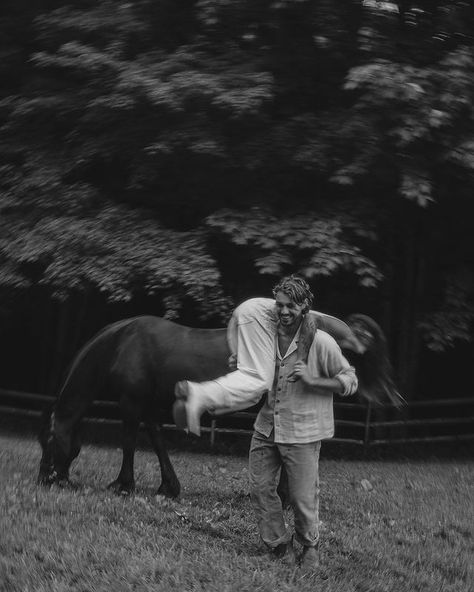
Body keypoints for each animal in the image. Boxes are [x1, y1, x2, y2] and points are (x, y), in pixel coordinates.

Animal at [38, 314, 400, 494]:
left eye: (49, 441)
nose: (47, 479)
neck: (120, 344)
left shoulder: (131, 404)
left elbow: (129, 443)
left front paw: (123, 486)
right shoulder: (150, 408)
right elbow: (156, 441)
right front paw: (168, 487)